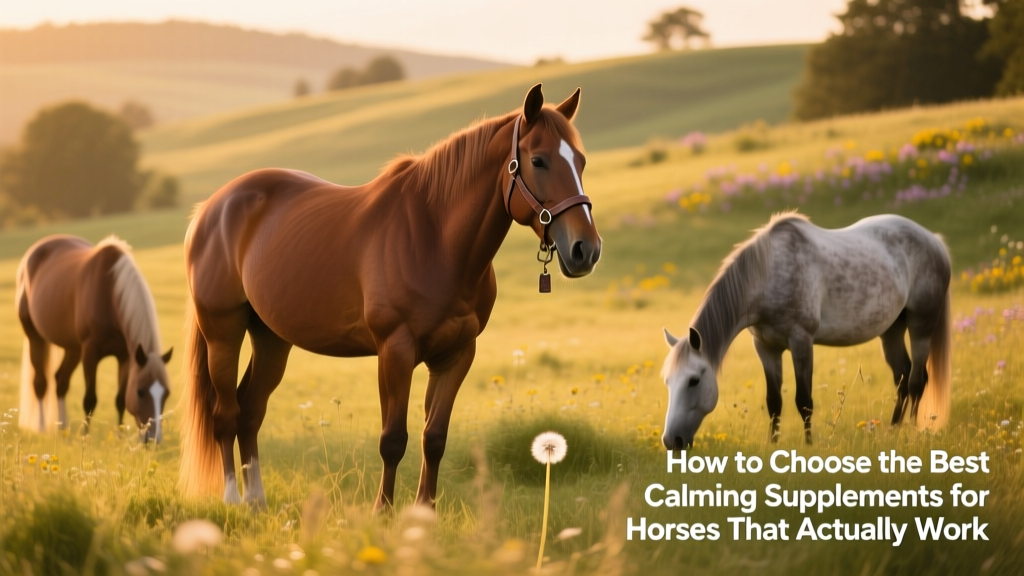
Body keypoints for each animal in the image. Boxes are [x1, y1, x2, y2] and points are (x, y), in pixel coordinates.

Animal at [16, 235, 173, 442]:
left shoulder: (125, 357)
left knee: (60, 382)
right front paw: (85, 437)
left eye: (166, 393)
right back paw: (42, 428)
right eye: (140, 391)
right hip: (35, 336)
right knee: (40, 382)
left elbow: (120, 399)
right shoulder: (90, 354)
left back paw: (62, 428)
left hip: (73, 349)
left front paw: (120, 436)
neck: (110, 294)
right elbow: (90, 399)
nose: (154, 439)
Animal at [179, 84, 602, 510]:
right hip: (223, 331)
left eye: (580, 161)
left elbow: (434, 438)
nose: (586, 249)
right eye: (538, 160)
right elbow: (393, 440)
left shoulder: (457, 355)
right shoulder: (395, 351)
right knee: (226, 413)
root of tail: (211, 208)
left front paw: (424, 511)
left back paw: (256, 501)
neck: (435, 240)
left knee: (251, 410)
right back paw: (232, 498)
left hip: (271, 338)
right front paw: (382, 511)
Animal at [660, 213, 951, 449]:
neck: (768, 274)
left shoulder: (801, 341)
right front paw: (773, 445)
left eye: (694, 380)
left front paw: (809, 446)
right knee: (902, 377)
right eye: (667, 381)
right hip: (891, 330)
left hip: (921, 326)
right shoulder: (766, 348)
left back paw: (911, 432)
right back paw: (892, 431)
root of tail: (935, 241)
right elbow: (774, 402)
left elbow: (804, 401)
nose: (671, 440)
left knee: (916, 381)